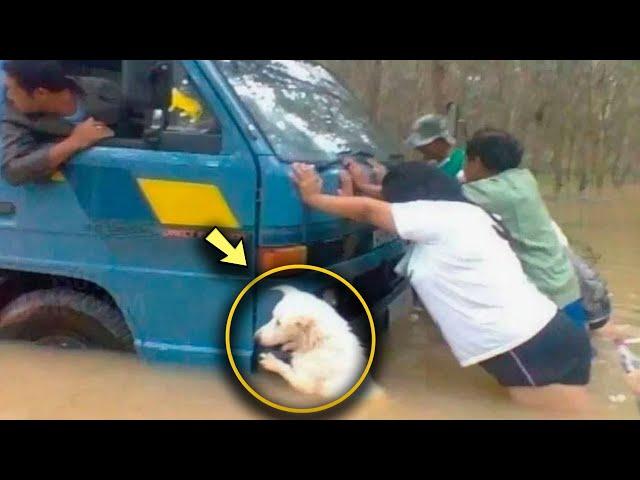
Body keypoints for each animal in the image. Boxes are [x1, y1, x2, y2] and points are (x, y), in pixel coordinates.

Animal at [256, 284, 384, 402]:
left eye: (278, 323)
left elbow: (285, 369)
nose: (255, 338)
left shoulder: (305, 382)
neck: (320, 343)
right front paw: (288, 347)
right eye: (272, 317)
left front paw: (271, 362)